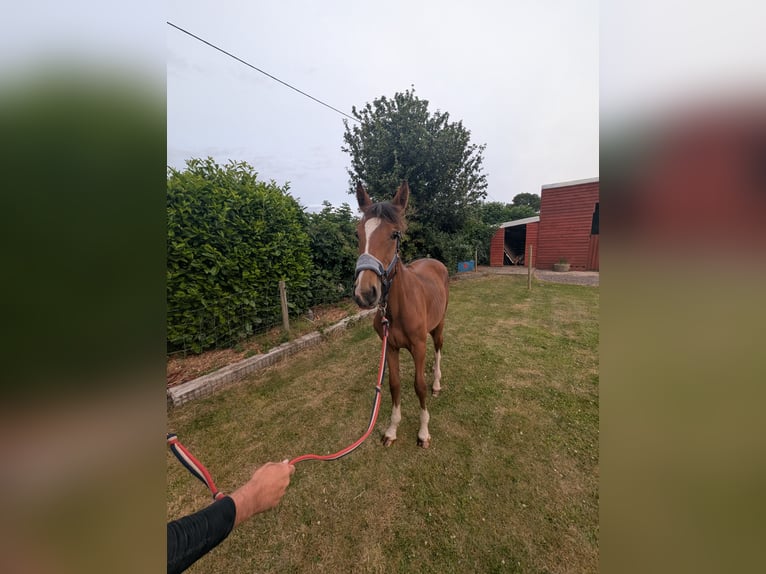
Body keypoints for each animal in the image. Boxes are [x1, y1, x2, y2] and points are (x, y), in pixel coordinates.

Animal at [352, 181, 449, 448]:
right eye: (358, 234)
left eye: (394, 234)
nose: (365, 292)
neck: (398, 309)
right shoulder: (391, 347)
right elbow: (394, 385)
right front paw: (392, 429)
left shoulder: (418, 346)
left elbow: (419, 386)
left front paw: (423, 432)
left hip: (439, 325)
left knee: (438, 349)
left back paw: (437, 383)